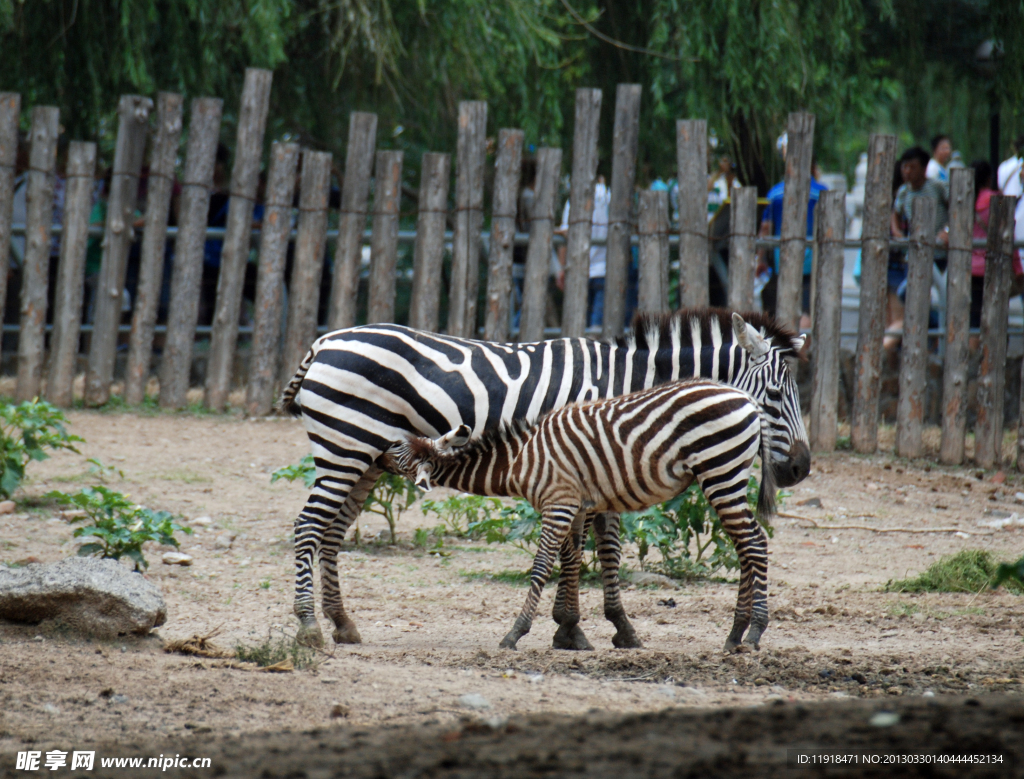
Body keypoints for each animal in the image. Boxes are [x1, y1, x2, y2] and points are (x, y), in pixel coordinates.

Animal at [382, 376, 774, 651]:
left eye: (397, 451)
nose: (376, 455)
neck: (521, 459)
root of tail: (747, 400)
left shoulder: (559, 503)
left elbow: (543, 565)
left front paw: (516, 633)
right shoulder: (574, 503)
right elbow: (571, 561)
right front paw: (571, 630)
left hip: (721, 470)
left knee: (755, 543)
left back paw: (754, 631)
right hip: (725, 475)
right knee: (745, 546)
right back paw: (735, 634)